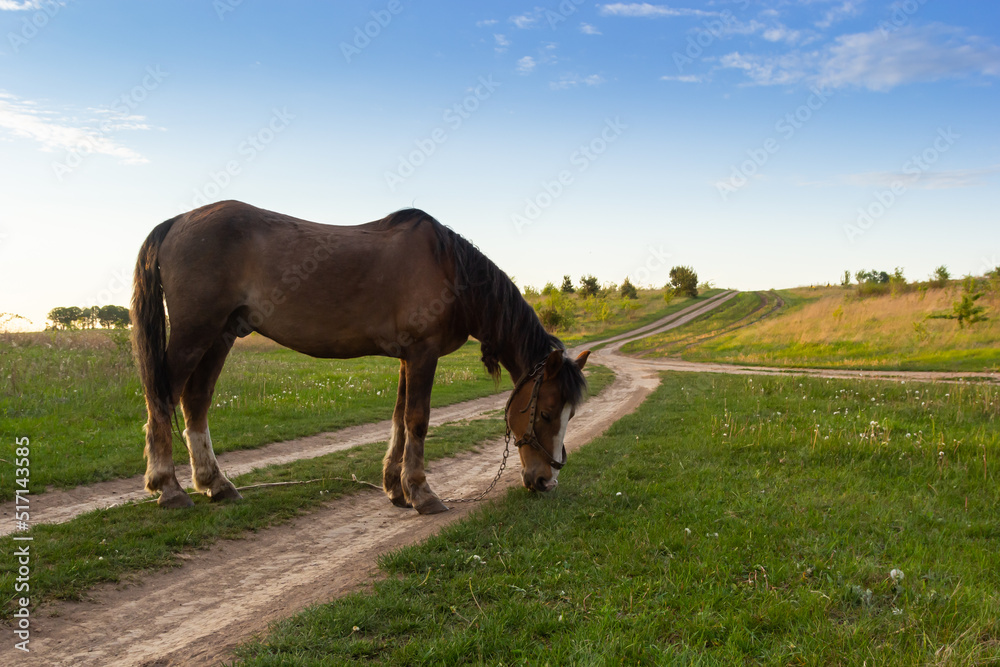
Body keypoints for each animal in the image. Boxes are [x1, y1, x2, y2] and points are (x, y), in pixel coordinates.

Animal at [130, 201, 590, 514]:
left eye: (569, 415)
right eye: (546, 413)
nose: (546, 481)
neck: (449, 270)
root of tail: (177, 222)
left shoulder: (408, 358)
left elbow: (399, 420)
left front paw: (395, 488)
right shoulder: (422, 355)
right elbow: (417, 421)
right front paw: (422, 493)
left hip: (221, 334)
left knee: (195, 401)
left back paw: (215, 483)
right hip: (196, 332)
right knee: (162, 399)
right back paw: (168, 487)